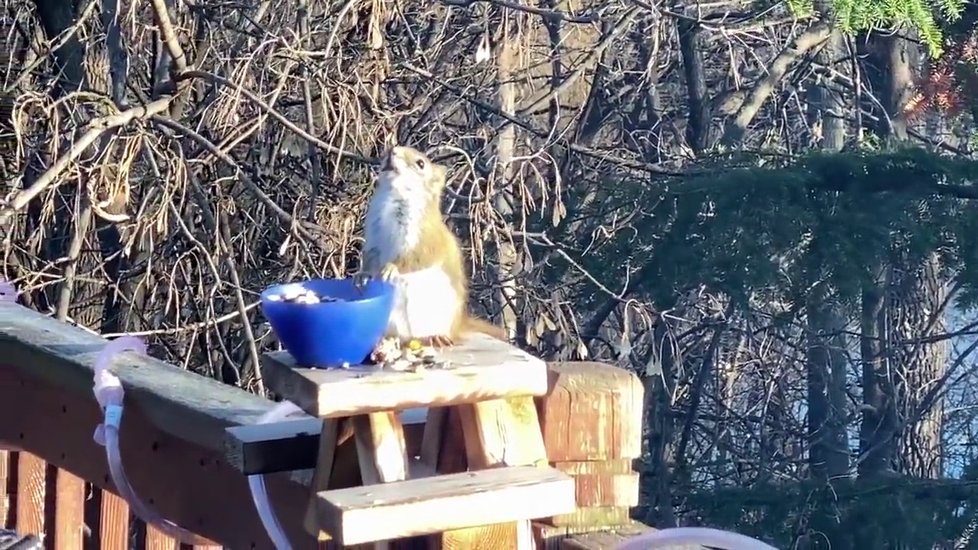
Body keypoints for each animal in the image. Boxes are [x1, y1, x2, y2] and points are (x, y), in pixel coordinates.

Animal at [352, 144, 508, 348]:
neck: (393, 196)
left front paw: (391, 268)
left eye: (421, 164)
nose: (392, 151)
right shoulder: (374, 235)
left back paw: (434, 337)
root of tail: (458, 325)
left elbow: (416, 257)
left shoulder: (426, 237)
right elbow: (370, 255)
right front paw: (362, 275)